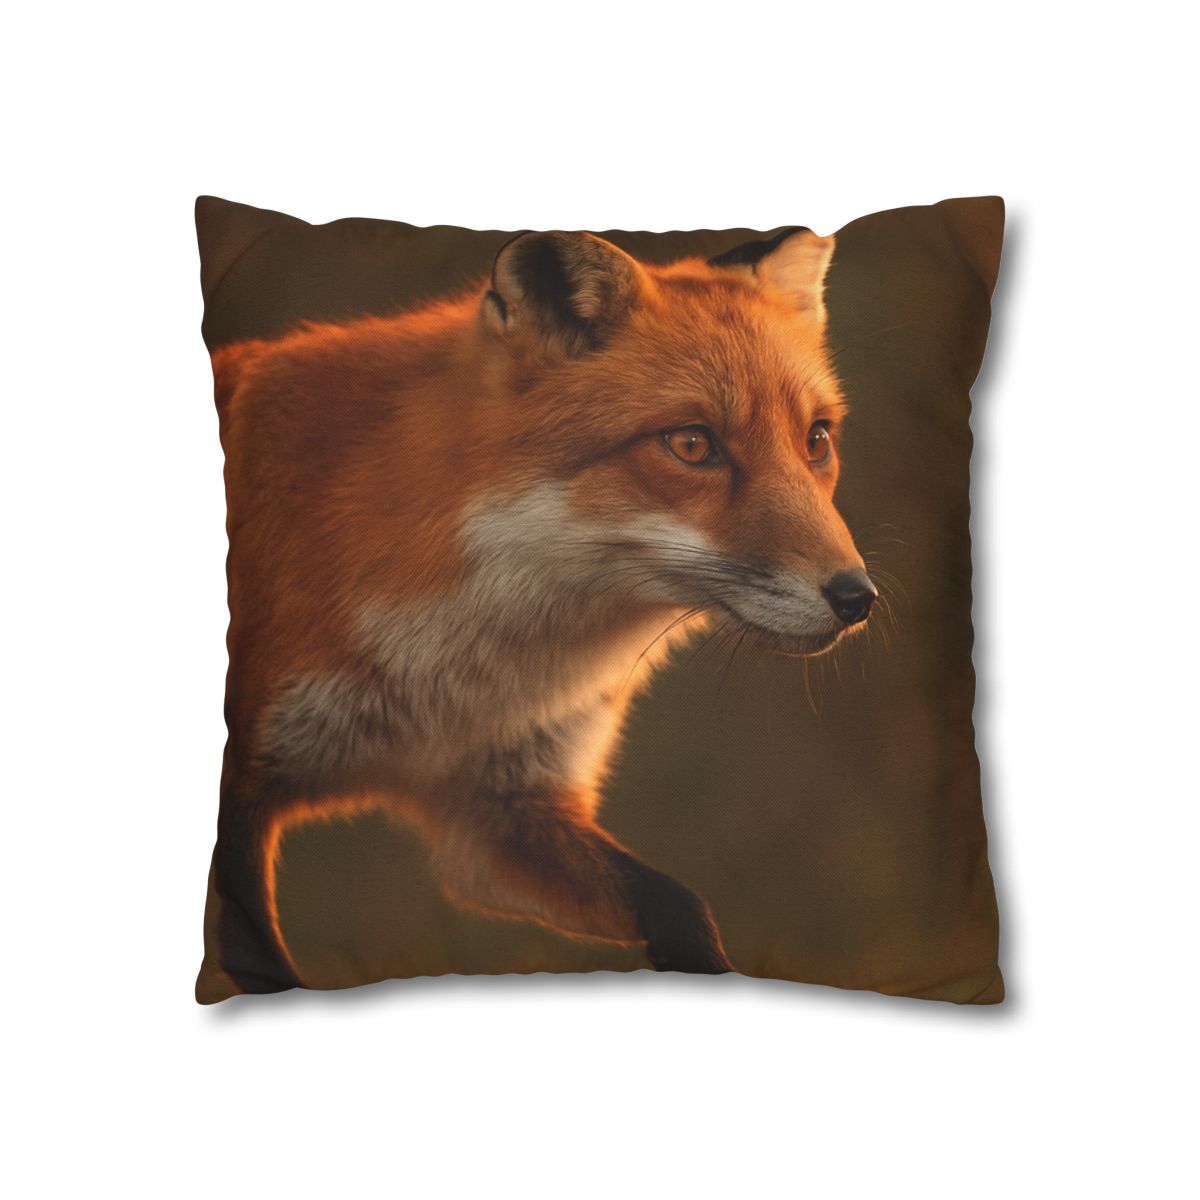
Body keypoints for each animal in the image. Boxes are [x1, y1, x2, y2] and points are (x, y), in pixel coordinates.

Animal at [200, 224, 878, 999]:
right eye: (692, 444)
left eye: (816, 440)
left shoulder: (499, 814)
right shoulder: (242, 796)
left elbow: (682, 909)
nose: (857, 598)